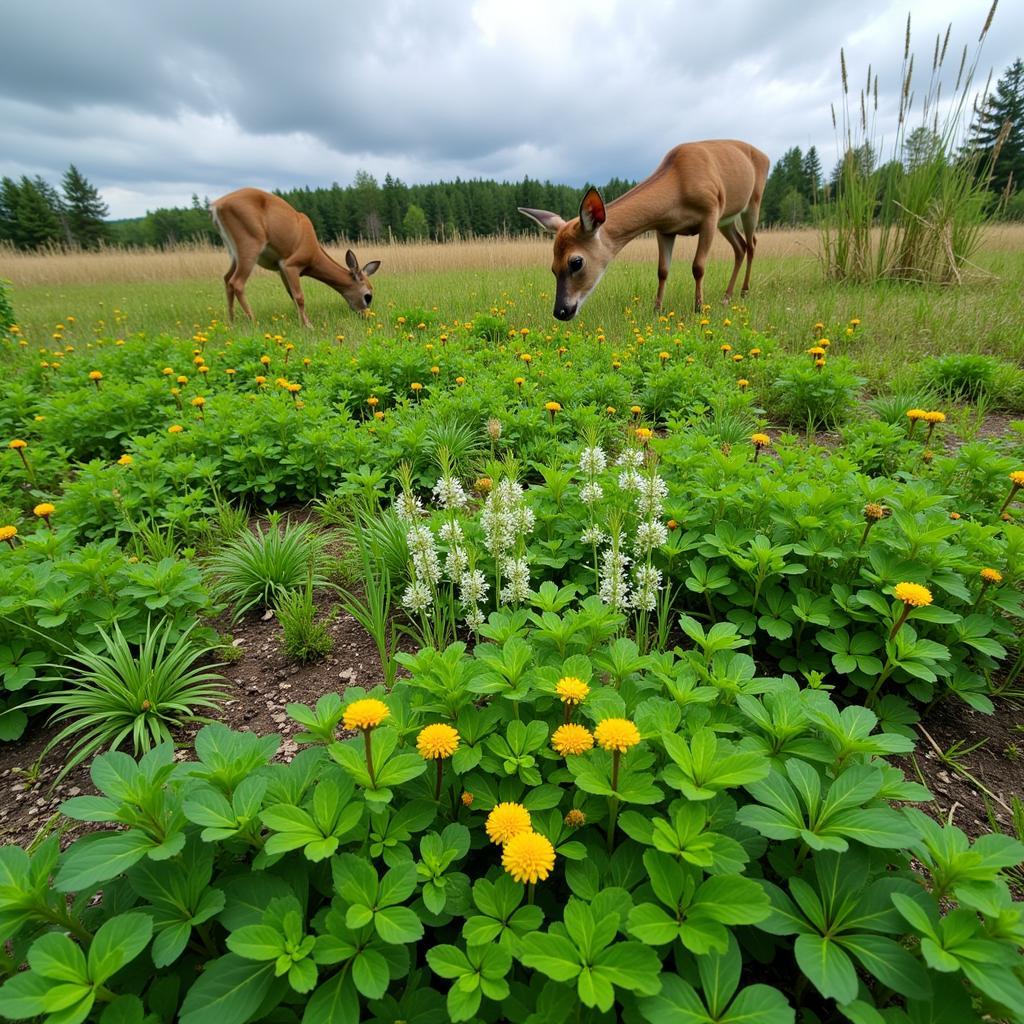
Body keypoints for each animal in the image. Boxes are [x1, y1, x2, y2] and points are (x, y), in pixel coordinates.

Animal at [209, 186, 382, 325]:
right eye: (368, 296)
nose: (366, 316)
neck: (313, 253)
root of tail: (217, 205)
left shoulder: (280, 268)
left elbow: (292, 295)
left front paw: (302, 322)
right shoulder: (291, 264)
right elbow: (299, 296)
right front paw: (308, 325)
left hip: (233, 251)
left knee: (226, 278)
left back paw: (231, 322)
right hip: (250, 244)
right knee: (236, 282)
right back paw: (253, 322)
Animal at [520, 138, 770, 317]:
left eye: (576, 262)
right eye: (553, 267)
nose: (560, 312)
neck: (677, 189)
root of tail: (765, 156)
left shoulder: (710, 211)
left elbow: (698, 266)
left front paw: (699, 308)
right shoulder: (665, 228)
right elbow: (662, 270)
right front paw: (656, 309)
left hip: (752, 203)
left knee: (752, 243)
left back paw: (743, 292)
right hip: (727, 220)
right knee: (740, 246)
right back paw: (727, 296)